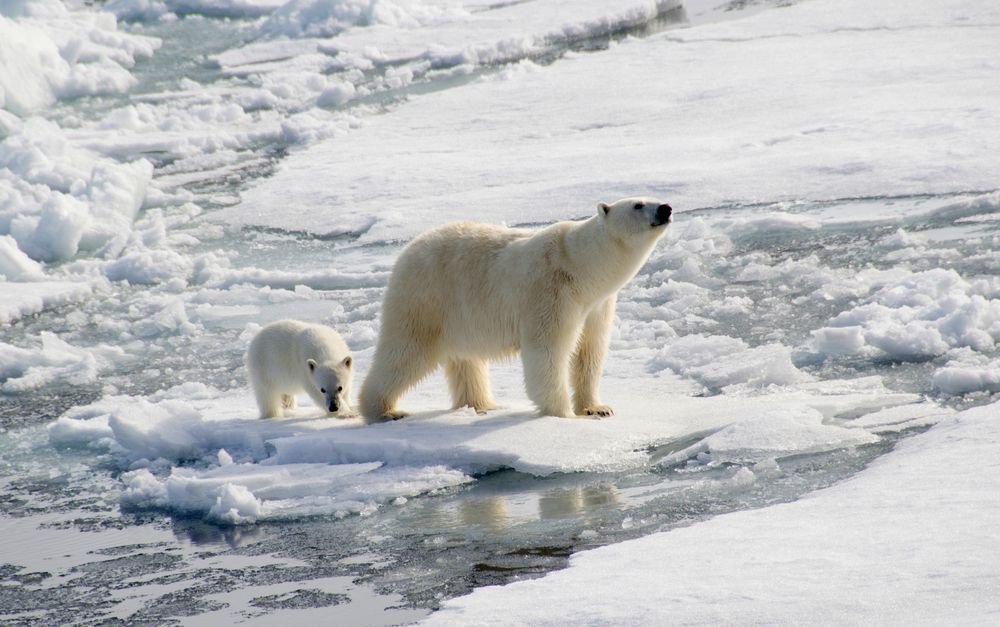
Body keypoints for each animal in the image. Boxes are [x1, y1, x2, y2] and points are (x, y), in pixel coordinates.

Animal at [359, 197, 672, 422]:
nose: (666, 208)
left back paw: (482, 404)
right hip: (426, 298)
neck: (581, 267)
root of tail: (405, 251)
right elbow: (547, 351)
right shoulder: (550, 293)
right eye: (638, 204)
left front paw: (597, 408)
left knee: (465, 360)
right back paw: (384, 410)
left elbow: (590, 352)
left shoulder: (597, 305)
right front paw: (563, 414)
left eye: (652, 197)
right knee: (405, 351)